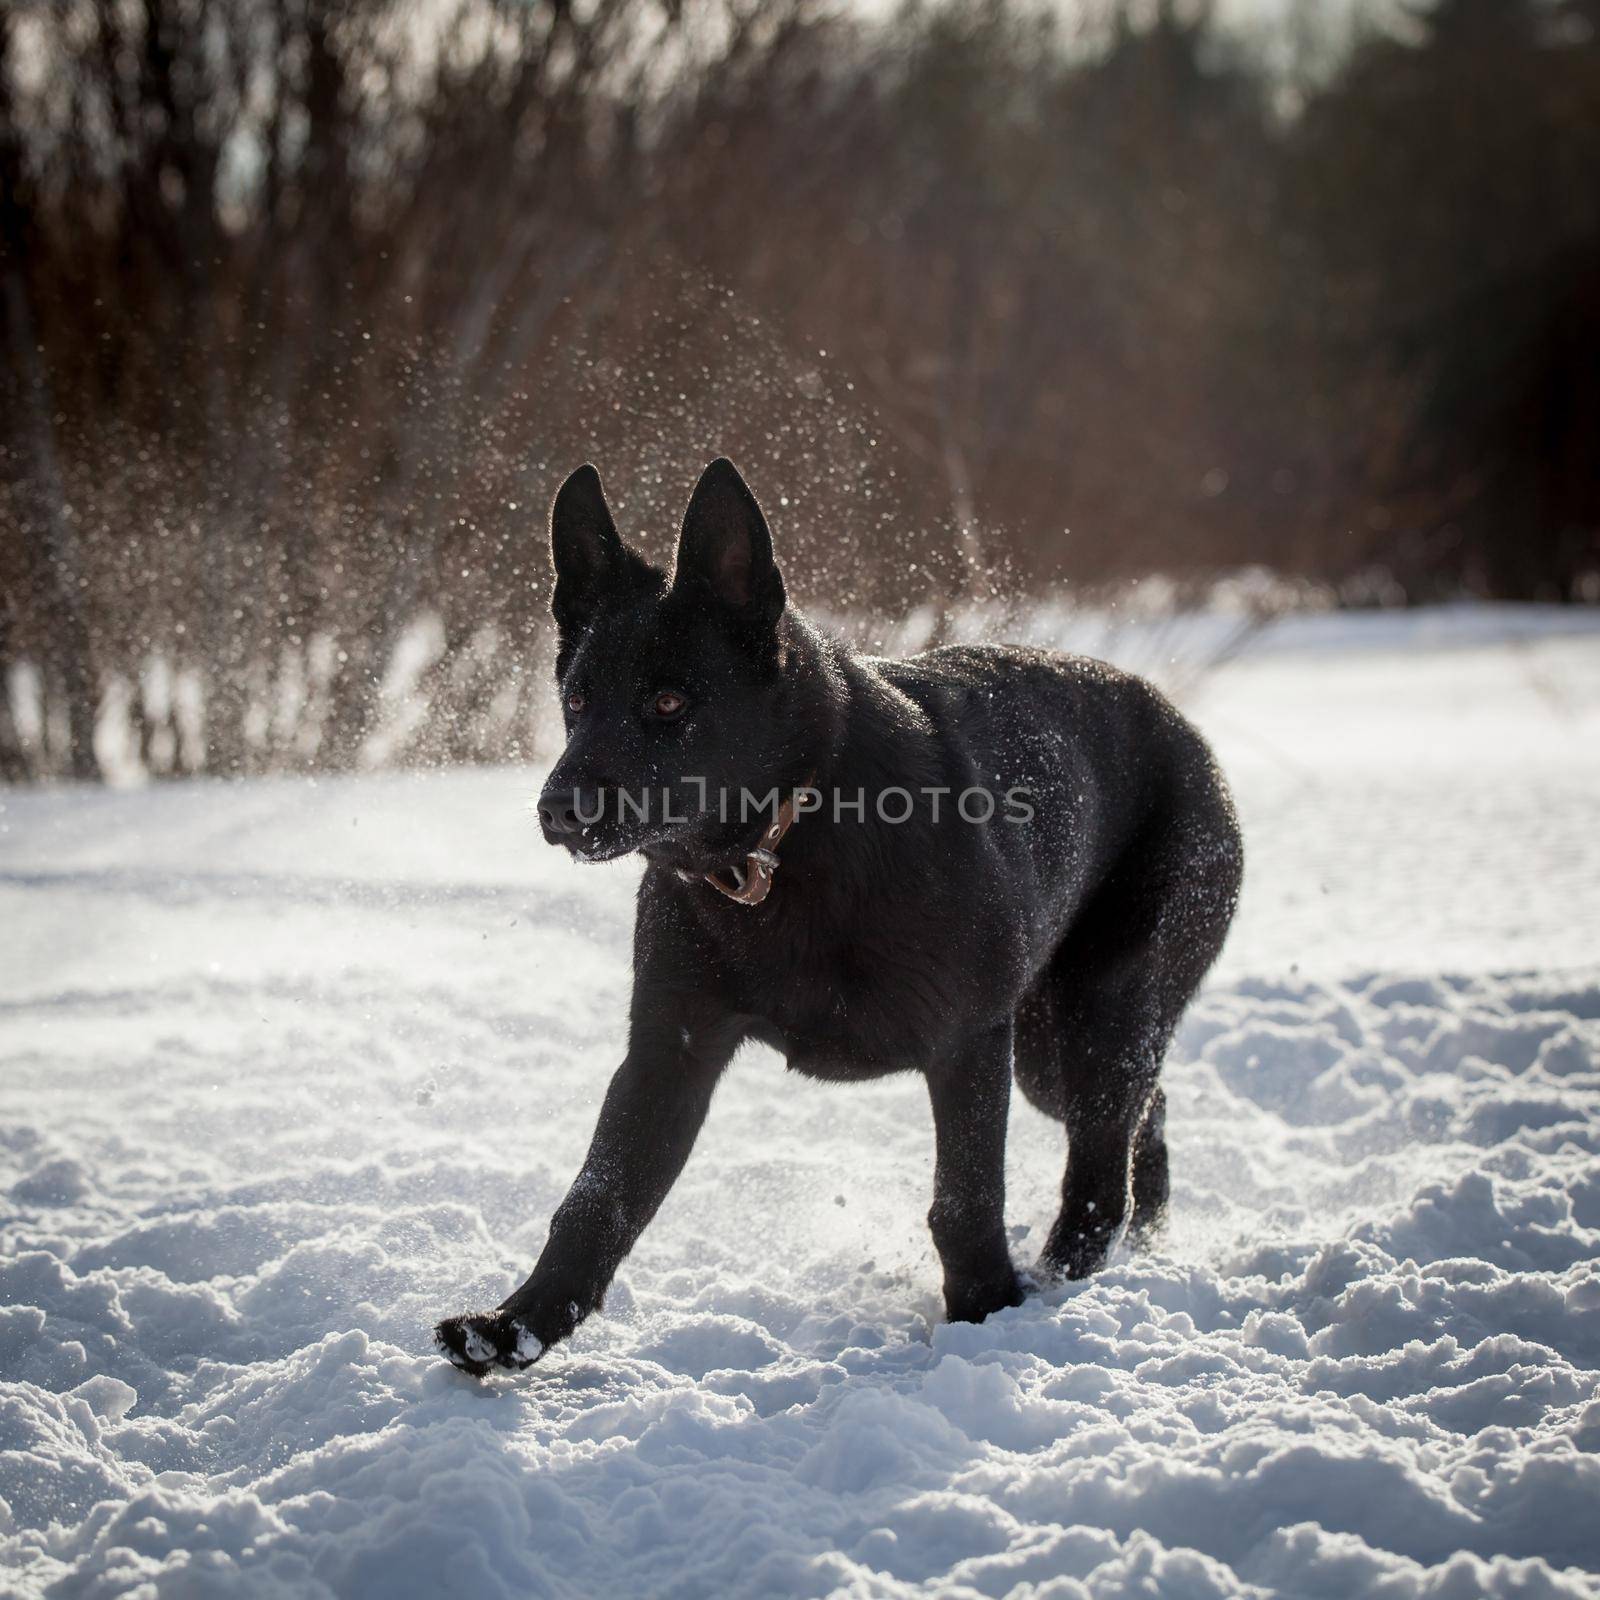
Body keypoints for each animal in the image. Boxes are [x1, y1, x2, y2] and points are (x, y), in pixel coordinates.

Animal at [432, 457, 1241, 1369]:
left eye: (670, 704)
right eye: (575, 702)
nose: (558, 809)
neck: (790, 838)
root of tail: (1179, 724)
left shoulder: (968, 1042)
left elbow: (964, 1204)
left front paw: (985, 1313)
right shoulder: (670, 1054)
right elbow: (597, 1201)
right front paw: (519, 1325)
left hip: (1094, 1018)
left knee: (1102, 1162)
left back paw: (1064, 1280)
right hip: (1047, 1051)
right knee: (1147, 1115)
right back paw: (1140, 1246)